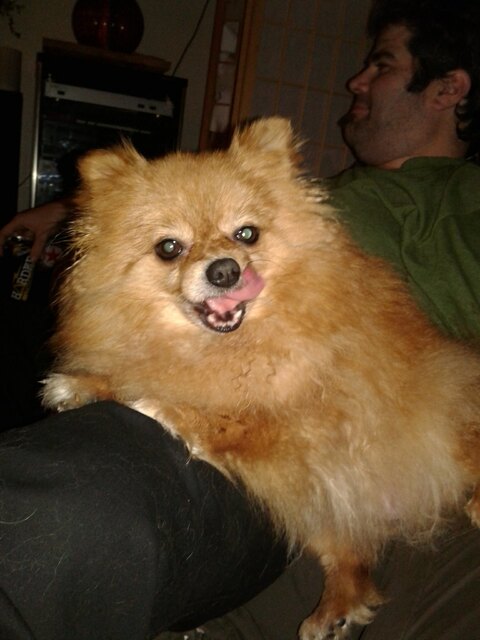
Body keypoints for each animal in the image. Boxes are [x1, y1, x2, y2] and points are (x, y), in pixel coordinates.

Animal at [42, 117, 480, 640]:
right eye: (169, 248)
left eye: (246, 234)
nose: (225, 270)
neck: (228, 345)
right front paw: (82, 386)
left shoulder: (309, 425)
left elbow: (224, 420)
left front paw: (158, 406)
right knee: (353, 561)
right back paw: (335, 609)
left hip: (451, 410)